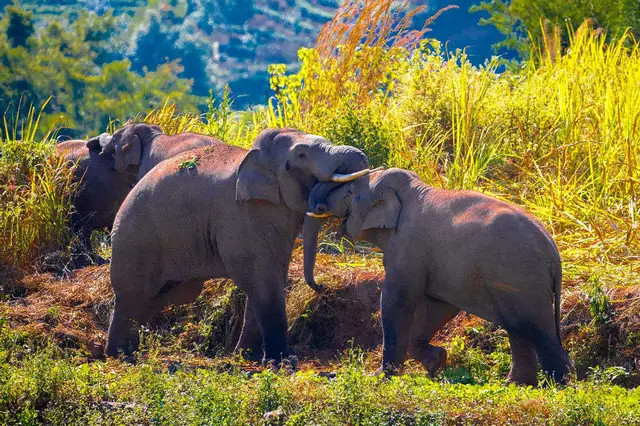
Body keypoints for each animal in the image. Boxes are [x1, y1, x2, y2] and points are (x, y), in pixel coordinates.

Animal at [107, 128, 372, 364]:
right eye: (301, 155)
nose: (322, 287)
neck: (255, 157)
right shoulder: (240, 215)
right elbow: (261, 278)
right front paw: (284, 361)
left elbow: (273, 274)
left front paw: (248, 357)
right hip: (136, 240)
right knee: (133, 294)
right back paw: (120, 355)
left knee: (165, 295)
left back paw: (131, 349)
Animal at [304, 167, 568, 386]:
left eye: (350, 192)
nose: (321, 287)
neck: (411, 190)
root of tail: (554, 254)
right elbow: (438, 307)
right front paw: (436, 363)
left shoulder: (408, 246)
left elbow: (395, 300)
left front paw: (382, 377)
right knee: (518, 326)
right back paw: (516, 385)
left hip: (522, 279)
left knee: (536, 328)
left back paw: (558, 387)